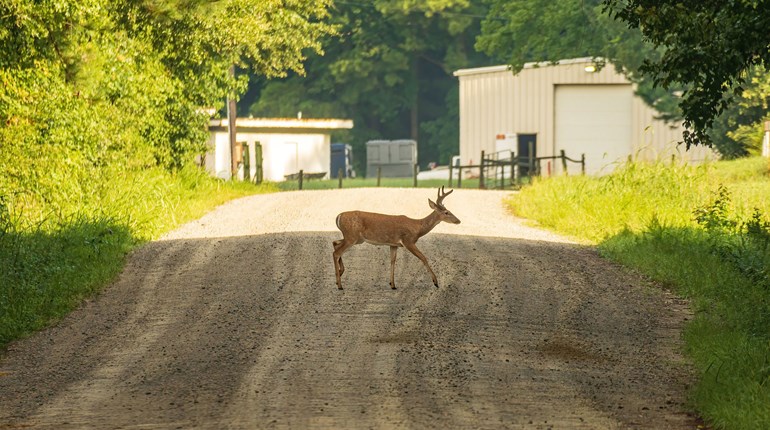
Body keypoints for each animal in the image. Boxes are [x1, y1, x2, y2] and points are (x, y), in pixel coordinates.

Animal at [332, 187, 461, 290]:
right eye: (446, 212)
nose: (458, 221)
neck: (417, 228)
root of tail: (338, 216)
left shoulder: (394, 244)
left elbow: (392, 261)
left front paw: (392, 284)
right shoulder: (408, 241)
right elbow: (423, 257)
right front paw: (436, 282)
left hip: (355, 238)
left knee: (335, 243)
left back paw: (339, 274)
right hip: (352, 237)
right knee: (336, 252)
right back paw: (340, 284)